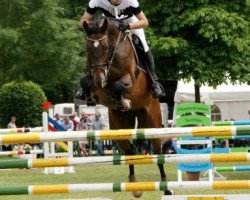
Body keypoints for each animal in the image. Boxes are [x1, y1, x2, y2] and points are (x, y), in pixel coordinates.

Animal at [83, 17, 171, 197]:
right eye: (88, 48)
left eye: (106, 47)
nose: (100, 80)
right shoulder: (95, 81)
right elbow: (86, 81)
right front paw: (88, 95)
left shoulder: (129, 78)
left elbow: (118, 86)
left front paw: (124, 101)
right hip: (119, 128)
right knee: (129, 151)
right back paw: (134, 185)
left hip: (152, 123)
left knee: (158, 152)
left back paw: (165, 187)